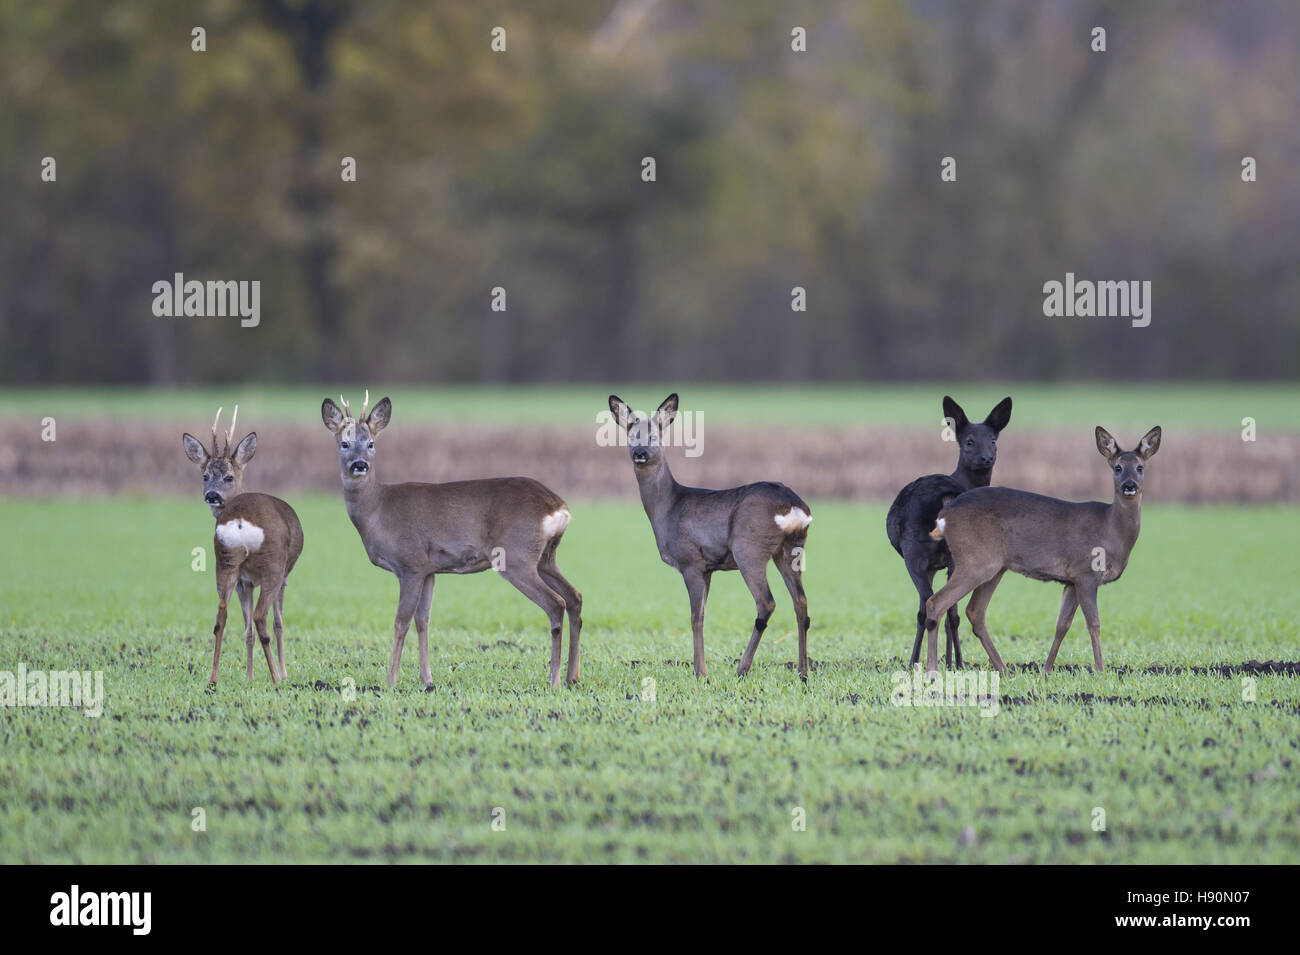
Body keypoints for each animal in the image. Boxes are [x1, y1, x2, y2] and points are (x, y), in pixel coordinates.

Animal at [183, 407, 304, 686]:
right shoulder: (283, 576)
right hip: (272, 564)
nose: (212, 495)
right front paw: (284, 672)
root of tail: (238, 521)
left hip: (225, 562)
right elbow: (279, 623)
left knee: (221, 616)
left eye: (228, 476)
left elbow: (245, 630)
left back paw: (213, 678)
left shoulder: (244, 581)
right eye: (205, 476)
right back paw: (275, 678)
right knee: (261, 618)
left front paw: (249, 677)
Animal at [319, 394, 585, 686]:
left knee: (555, 603)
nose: (360, 465)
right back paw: (573, 676)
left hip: (517, 558)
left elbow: (401, 621)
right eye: (344, 443)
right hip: (546, 558)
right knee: (575, 597)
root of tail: (558, 506)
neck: (377, 510)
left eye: (371, 443)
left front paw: (390, 680)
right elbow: (423, 621)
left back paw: (554, 679)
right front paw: (427, 679)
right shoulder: (429, 570)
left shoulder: (411, 563)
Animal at [608, 394, 811, 680]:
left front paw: (700, 672)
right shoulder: (708, 568)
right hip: (790, 549)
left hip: (749, 548)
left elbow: (696, 618)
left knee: (766, 603)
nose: (640, 453)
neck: (667, 508)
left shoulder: (690, 561)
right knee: (801, 603)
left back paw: (742, 669)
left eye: (655, 436)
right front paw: (699, 668)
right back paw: (803, 672)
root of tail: (794, 505)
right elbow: (703, 614)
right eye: (630, 434)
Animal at [883, 392, 1013, 670]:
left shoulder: (931, 563)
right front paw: (951, 661)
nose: (986, 458)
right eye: (969, 441)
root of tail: (947, 495)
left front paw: (924, 661)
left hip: (915, 550)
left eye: (993, 440)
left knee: (927, 607)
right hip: (951, 554)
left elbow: (925, 609)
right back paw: (955, 663)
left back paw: (923, 662)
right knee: (945, 608)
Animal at [925, 426, 1170, 680]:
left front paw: (1045, 671)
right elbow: (1094, 623)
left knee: (975, 611)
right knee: (936, 602)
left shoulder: (1071, 580)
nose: (1129, 485)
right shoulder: (1085, 572)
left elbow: (1062, 626)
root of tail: (944, 515)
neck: (1111, 530)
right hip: (975, 561)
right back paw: (932, 669)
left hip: (995, 567)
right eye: (1117, 467)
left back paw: (1004, 669)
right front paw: (1101, 671)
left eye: (1140, 467)